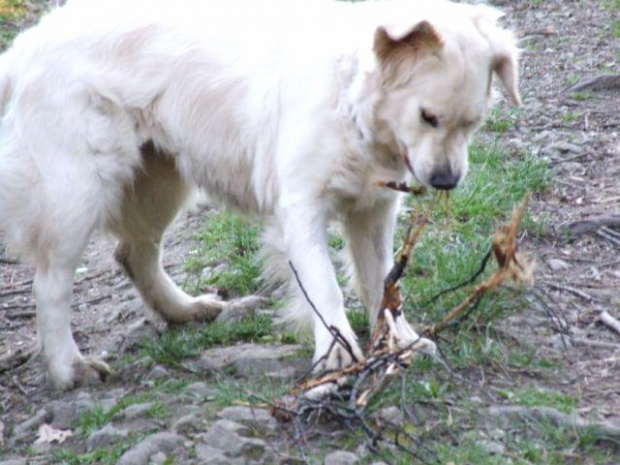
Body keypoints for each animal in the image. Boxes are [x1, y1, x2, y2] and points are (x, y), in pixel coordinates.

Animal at [0, 0, 520, 388]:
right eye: (428, 117)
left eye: (472, 122)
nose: (446, 181)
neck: (347, 102)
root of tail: (27, 44)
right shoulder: (301, 209)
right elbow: (326, 288)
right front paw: (337, 359)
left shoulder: (374, 211)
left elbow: (383, 286)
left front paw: (402, 341)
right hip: (77, 192)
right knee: (50, 284)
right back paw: (70, 369)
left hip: (161, 180)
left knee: (134, 253)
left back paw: (184, 309)